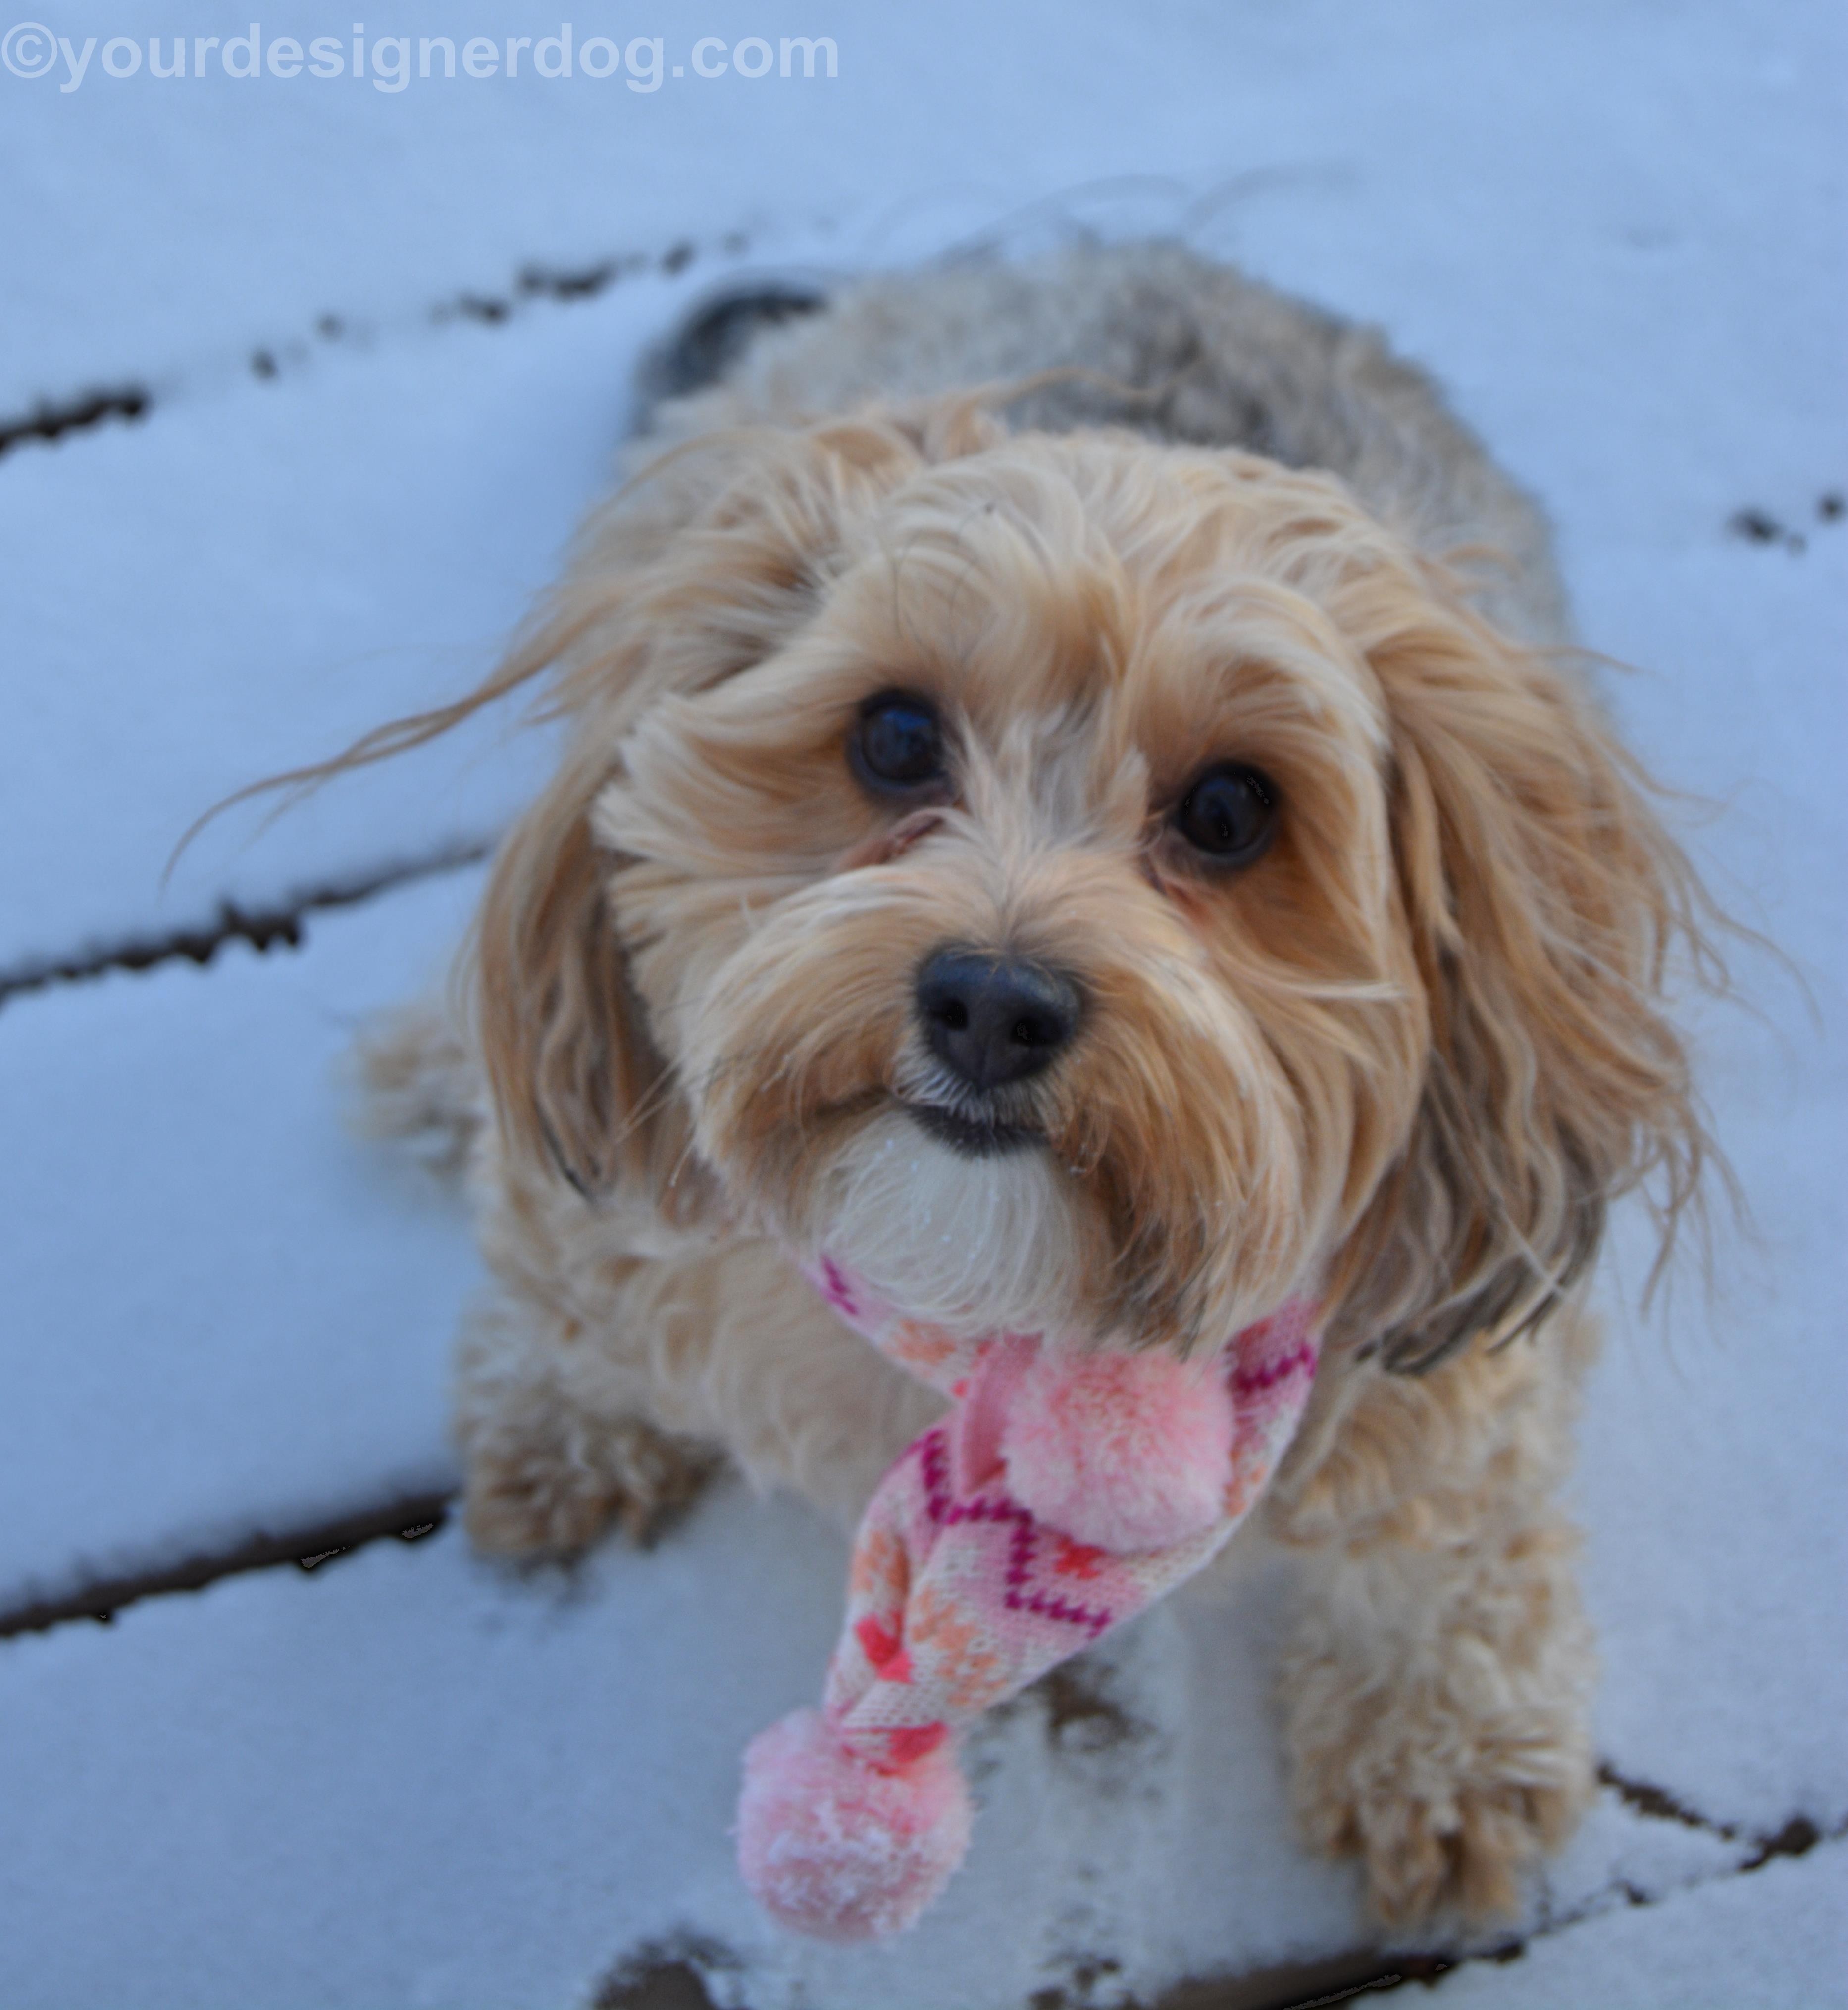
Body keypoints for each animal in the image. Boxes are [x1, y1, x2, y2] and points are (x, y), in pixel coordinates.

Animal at [358, 243, 1721, 1921]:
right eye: (891, 733)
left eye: (1229, 810)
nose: (991, 1006)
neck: (990, 1301)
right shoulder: (625, 1212)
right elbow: (564, 1280)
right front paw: (560, 1419)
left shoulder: (1445, 1349)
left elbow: (1445, 1537)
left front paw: (1442, 1749)